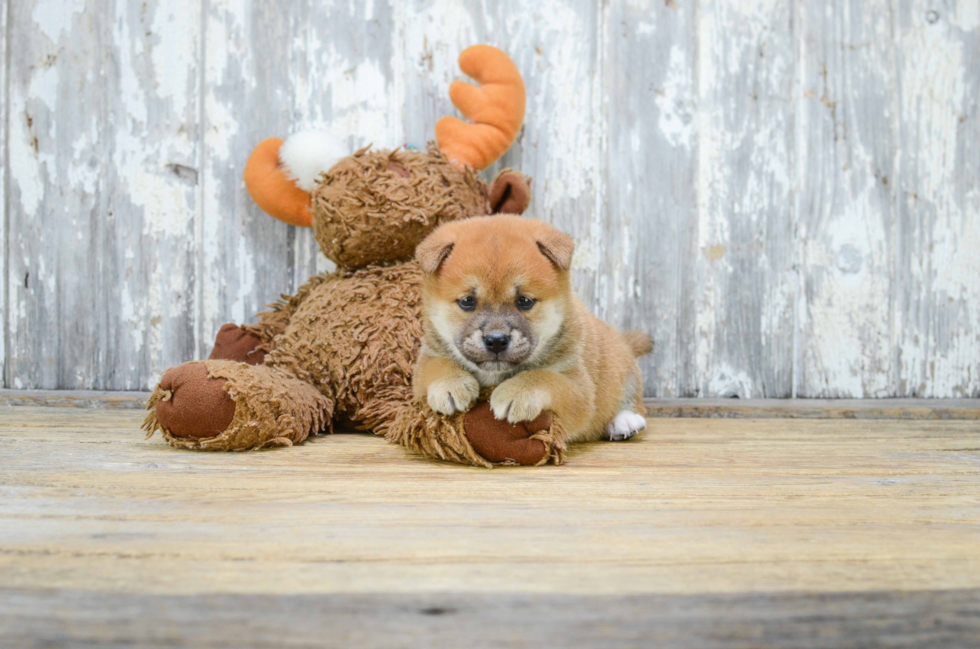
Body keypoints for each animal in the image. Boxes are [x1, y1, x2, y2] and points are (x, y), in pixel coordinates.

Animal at [412, 215, 652, 442]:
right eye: (467, 301)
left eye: (525, 301)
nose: (496, 340)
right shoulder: (425, 361)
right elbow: (438, 366)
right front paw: (450, 384)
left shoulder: (578, 387)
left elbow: (544, 377)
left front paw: (516, 392)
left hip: (624, 370)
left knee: (635, 404)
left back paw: (624, 422)